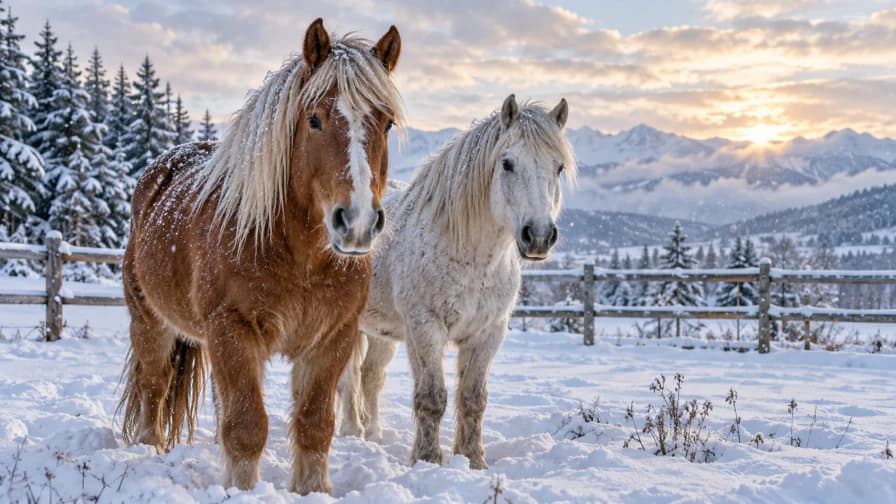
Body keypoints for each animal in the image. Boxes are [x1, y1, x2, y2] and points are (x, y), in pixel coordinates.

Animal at [117, 19, 404, 495]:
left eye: (385, 124)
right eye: (314, 119)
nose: (358, 222)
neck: (300, 257)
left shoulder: (333, 338)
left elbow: (314, 425)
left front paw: (312, 490)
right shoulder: (233, 330)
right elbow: (247, 425)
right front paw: (242, 490)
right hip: (151, 323)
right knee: (154, 387)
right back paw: (148, 449)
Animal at [336, 95, 575, 469]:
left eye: (559, 167)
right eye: (507, 163)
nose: (538, 236)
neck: (473, 260)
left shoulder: (488, 332)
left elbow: (473, 399)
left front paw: (473, 460)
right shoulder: (425, 327)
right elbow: (431, 397)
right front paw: (428, 460)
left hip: (382, 333)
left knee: (371, 376)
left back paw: (373, 433)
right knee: (350, 378)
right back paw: (353, 433)